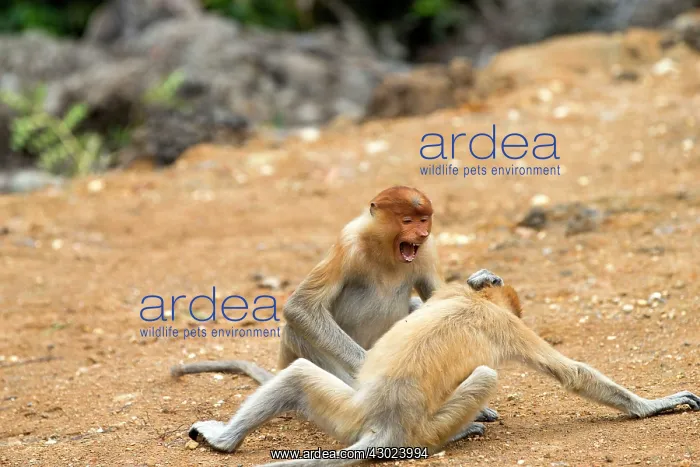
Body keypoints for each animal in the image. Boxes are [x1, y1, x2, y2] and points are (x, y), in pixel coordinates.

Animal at [172, 186, 498, 424]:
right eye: (407, 220)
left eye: (424, 220)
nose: (421, 233)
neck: (385, 249)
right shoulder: (348, 243)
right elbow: (300, 307)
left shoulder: (426, 250)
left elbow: (438, 297)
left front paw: (479, 280)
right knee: (297, 331)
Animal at [187, 269, 699, 466]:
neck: (475, 304)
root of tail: (386, 421)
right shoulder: (504, 326)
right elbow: (570, 372)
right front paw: (657, 405)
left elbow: (425, 300)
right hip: (420, 428)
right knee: (487, 377)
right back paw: (460, 431)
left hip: (345, 414)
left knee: (296, 378)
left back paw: (221, 440)